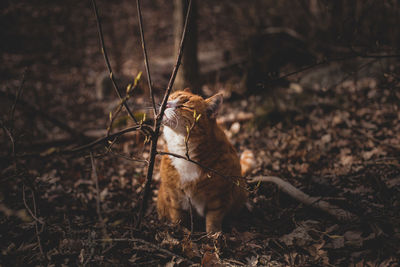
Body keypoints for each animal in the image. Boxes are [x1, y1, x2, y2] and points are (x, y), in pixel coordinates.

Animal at [157, 89, 248, 233]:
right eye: (170, 98)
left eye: (184, 105)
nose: (164, 103)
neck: (184, 152)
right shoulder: (174, 197)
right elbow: (178, 218)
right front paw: (179, 231)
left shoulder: (219, 197)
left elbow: (213, 220)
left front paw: (214, 235)